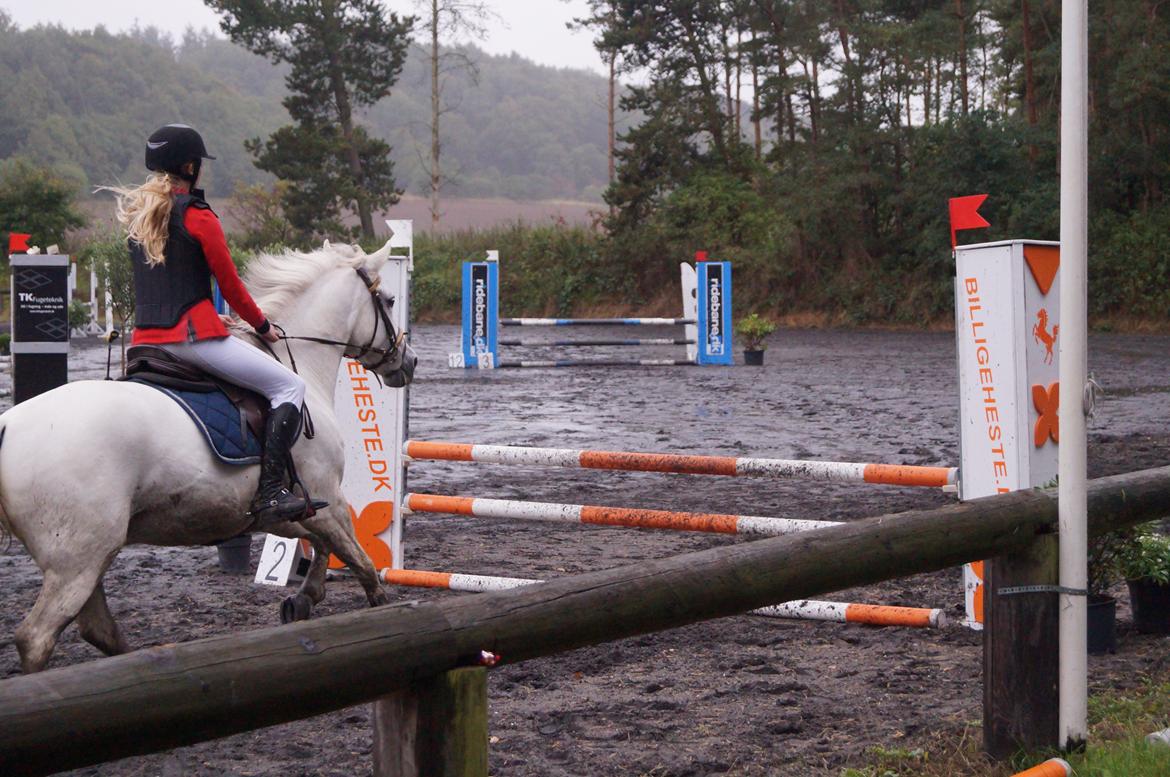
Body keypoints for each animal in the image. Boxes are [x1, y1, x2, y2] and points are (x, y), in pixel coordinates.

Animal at [0, 239, 418, 669]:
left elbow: (320, 546)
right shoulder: (326, 499)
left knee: (96, 628)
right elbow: (360, 562)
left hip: (93, 556)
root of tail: (9, 425)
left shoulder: (287, 511)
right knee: (37, 637)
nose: (409, 361)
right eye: (389, 300)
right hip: (78, 561)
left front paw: (303, 599)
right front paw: (379, 612)